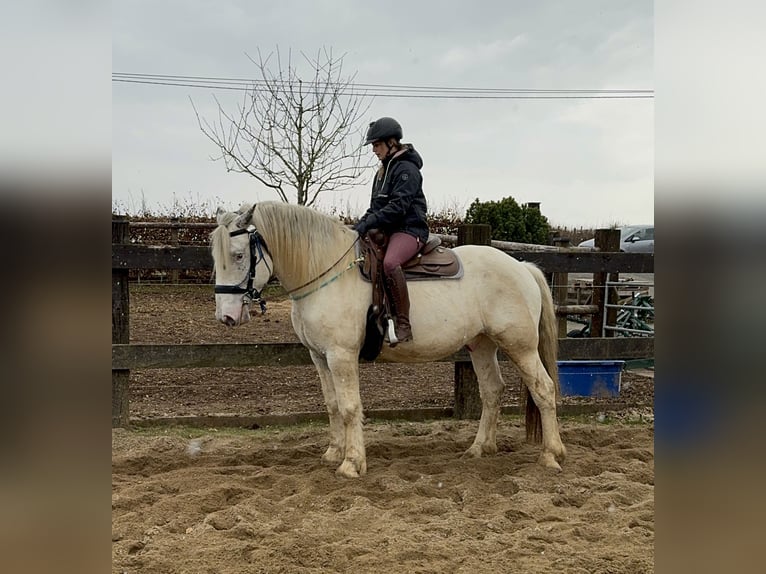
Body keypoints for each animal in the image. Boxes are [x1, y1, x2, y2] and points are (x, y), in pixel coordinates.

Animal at [213, 200, 568, 480]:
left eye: (240, 255)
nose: (226, 316)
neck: (327, 273)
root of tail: (521, 267)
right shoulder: (320, 357)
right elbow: (332, 405)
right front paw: (334, 453)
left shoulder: (341, 356)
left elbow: (350, 407)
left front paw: (352, 463)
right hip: (481, 345)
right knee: (493, 391)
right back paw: (479, 448)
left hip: (521, 347)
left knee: (543, 389)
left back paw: (551, 454)